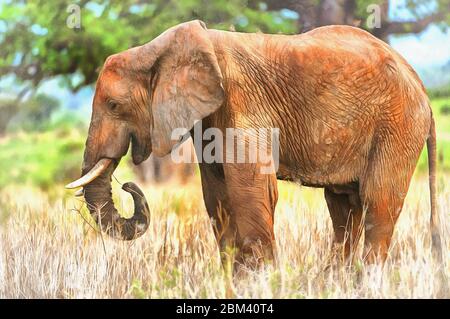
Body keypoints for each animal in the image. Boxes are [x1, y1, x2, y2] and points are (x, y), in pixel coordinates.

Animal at [65, 20, 442, 268]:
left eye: (114, 106)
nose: (128, 184)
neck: (161, 48)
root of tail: (420, 84)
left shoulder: (243, 104)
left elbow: (251, 190)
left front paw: (264, 279)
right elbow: (217, 194)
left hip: (398, 125)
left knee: (379, 200)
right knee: (343, 207)